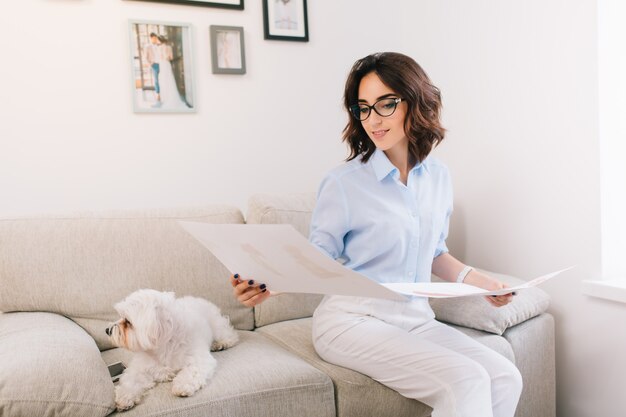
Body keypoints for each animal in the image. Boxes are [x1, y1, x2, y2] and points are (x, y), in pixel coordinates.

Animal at [106, 290, 238, 410]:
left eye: (128, 321)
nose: (107, 330)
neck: (163, 346)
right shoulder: (140, 367)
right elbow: (131, 380)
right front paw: (125, 396)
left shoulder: (199, 359)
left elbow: (192, 371)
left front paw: (182, 385)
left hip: (217, 327)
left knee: (230, 335)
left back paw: (221, 344)